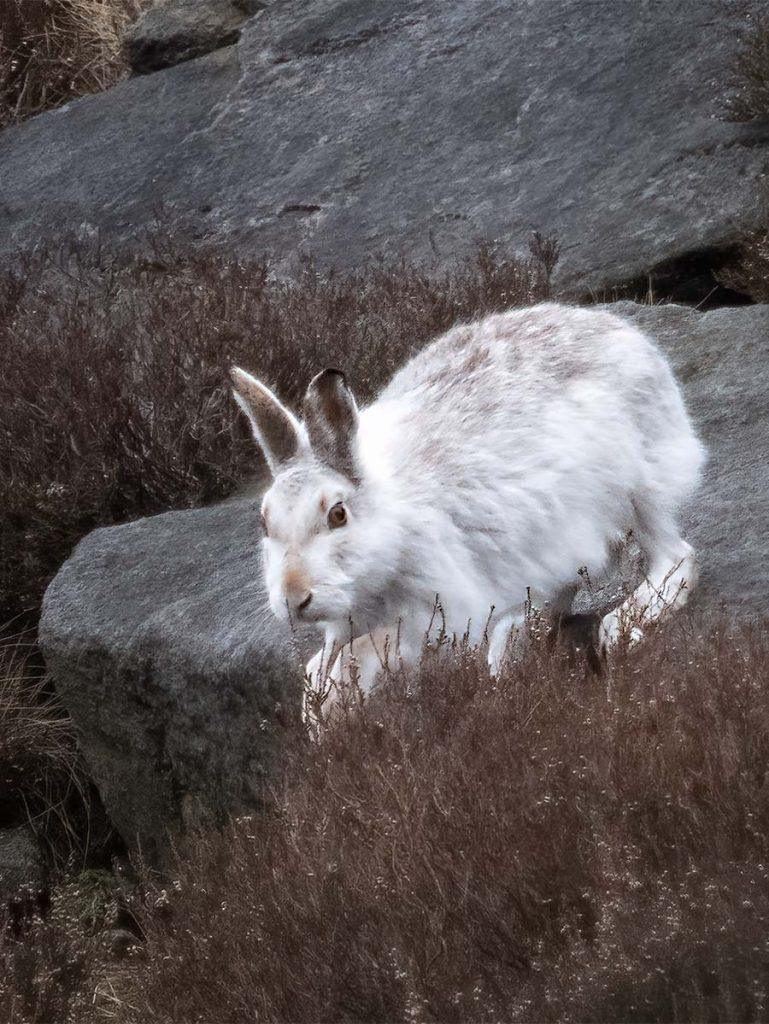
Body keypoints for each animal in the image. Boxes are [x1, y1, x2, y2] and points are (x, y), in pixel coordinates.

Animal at [231, 302, 705, 702]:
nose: (293, 599)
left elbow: (365, 656)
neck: (392, 526)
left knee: (675, 559)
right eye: (264, 523)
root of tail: (629, 338)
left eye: (337, 514)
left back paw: (616, 627)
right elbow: (322, 667)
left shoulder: (436, 613)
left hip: (638, 492)